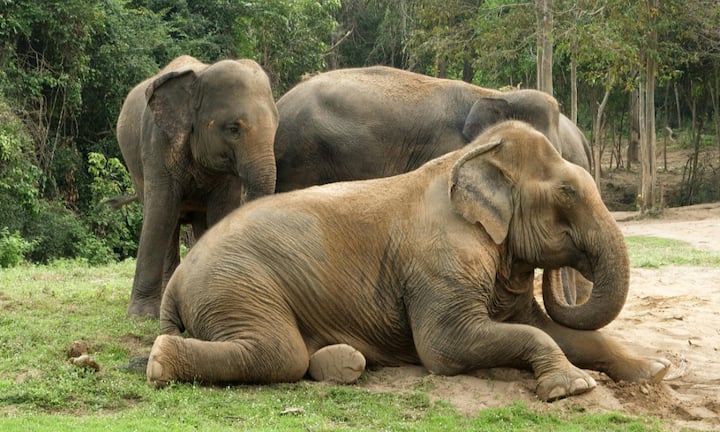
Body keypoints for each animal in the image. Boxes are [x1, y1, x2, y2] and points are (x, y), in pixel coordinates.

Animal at [115, 54, 278, 318]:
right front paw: (141, 315)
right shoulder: (157, 142)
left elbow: (221, 212)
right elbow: (160, 213)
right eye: (233, 129)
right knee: (168, 222)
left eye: (276, 126)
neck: (200, 76)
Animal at [146, 120, 668, 402]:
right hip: (235, 285)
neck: (468, 157)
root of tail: (180, 278)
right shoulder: (439, 261)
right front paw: (572, 388)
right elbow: (447, 347)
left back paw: (345, 364)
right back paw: (160, 360)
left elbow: (551, 329)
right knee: (279, 351)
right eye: (567, 192)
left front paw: (656, 369)